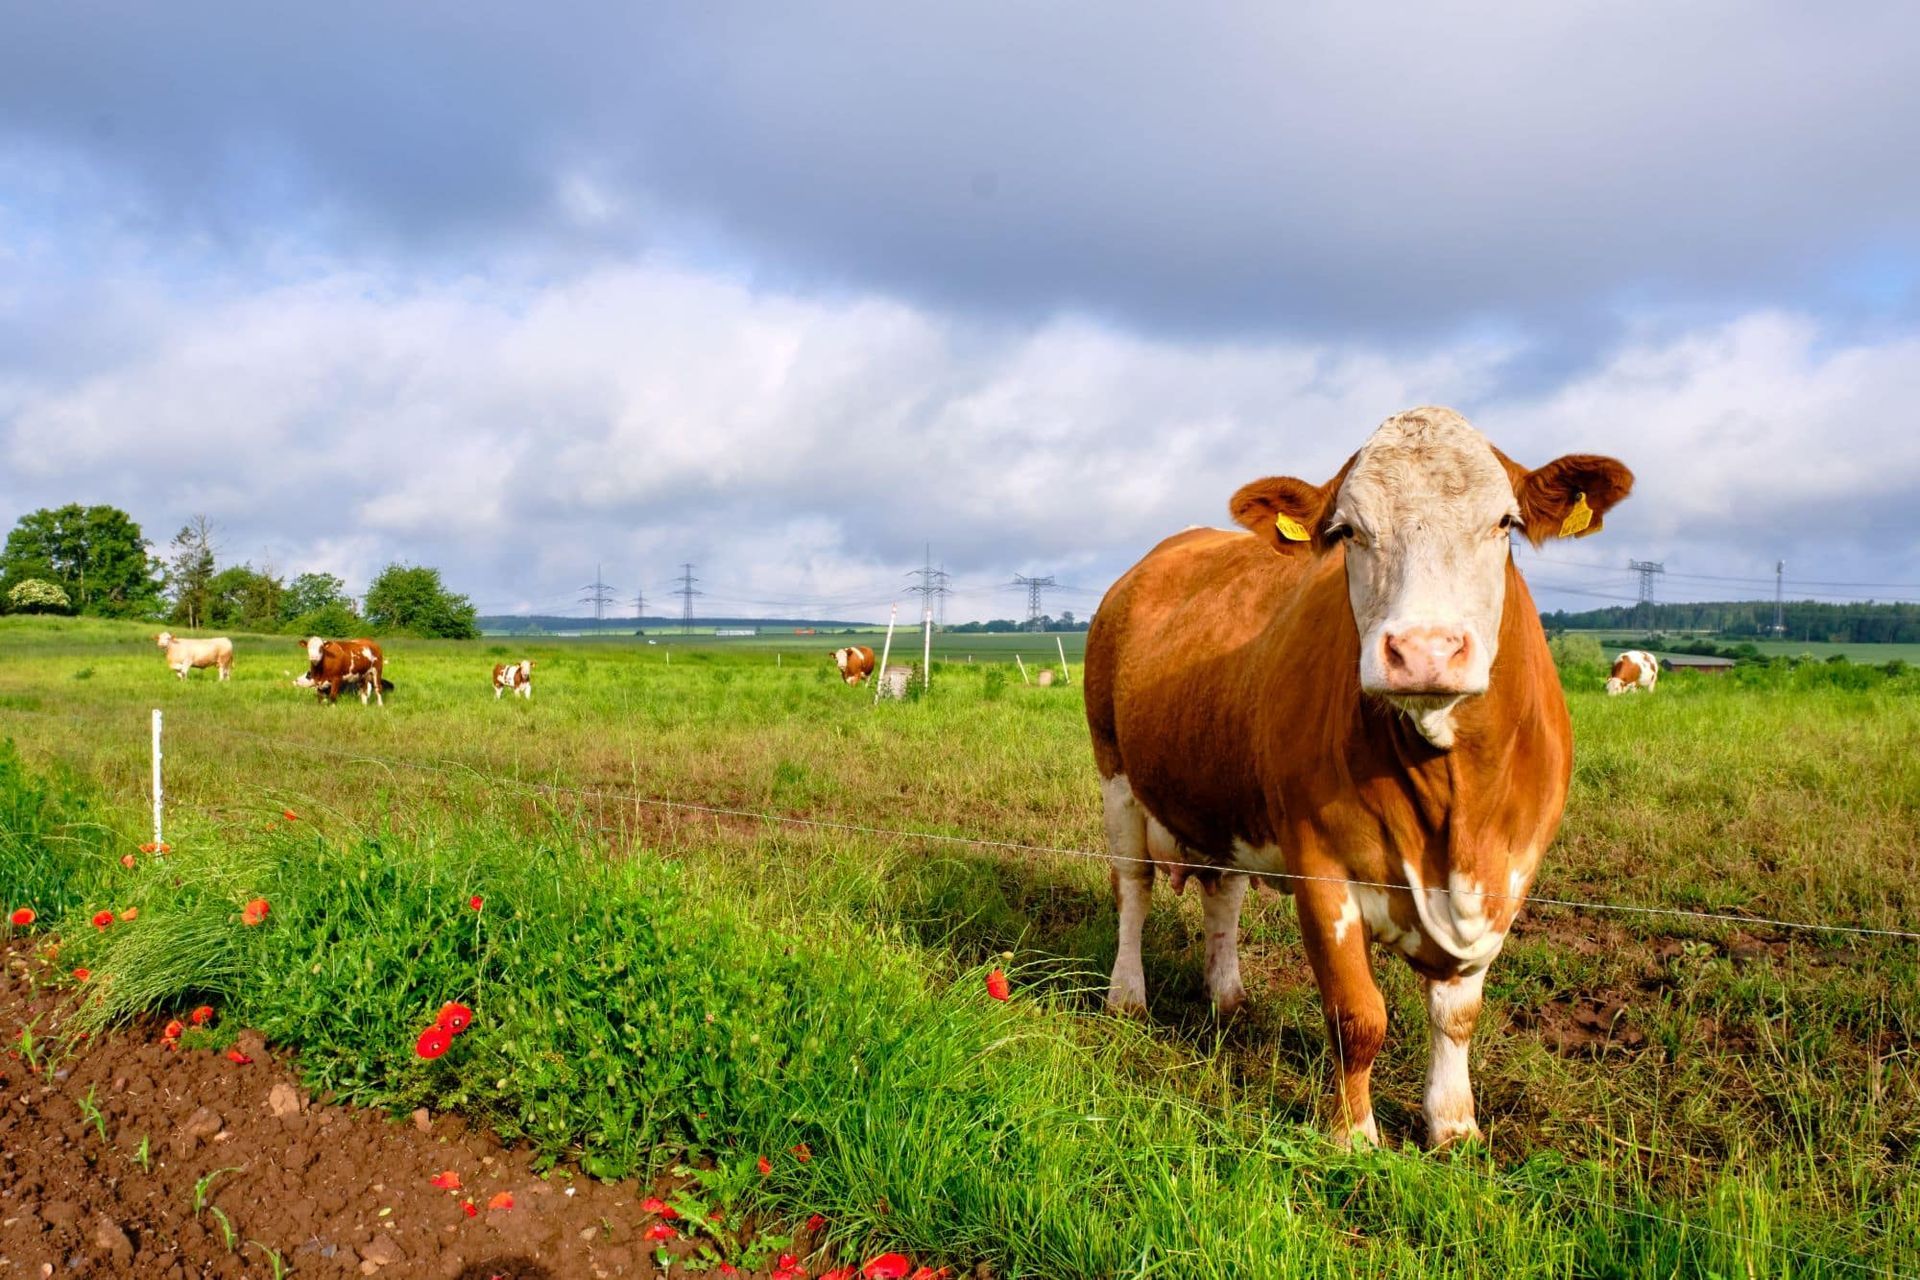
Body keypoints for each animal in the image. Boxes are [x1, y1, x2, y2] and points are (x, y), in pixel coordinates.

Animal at [1085, 406, 1632, 1149]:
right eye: (1347, 531)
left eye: (1505, 523)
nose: (1425, 650)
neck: (1453, 808)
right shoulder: (1320, 868)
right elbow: (1357, 1015)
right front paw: (1353, 1136)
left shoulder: (1508, 874)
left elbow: (1458, 1014)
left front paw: (1454, 1126)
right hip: (1114, 768)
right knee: (1133, 887)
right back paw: (1127, 996)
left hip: (1225, 794)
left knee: (1223, 892)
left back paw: (1227, 997)